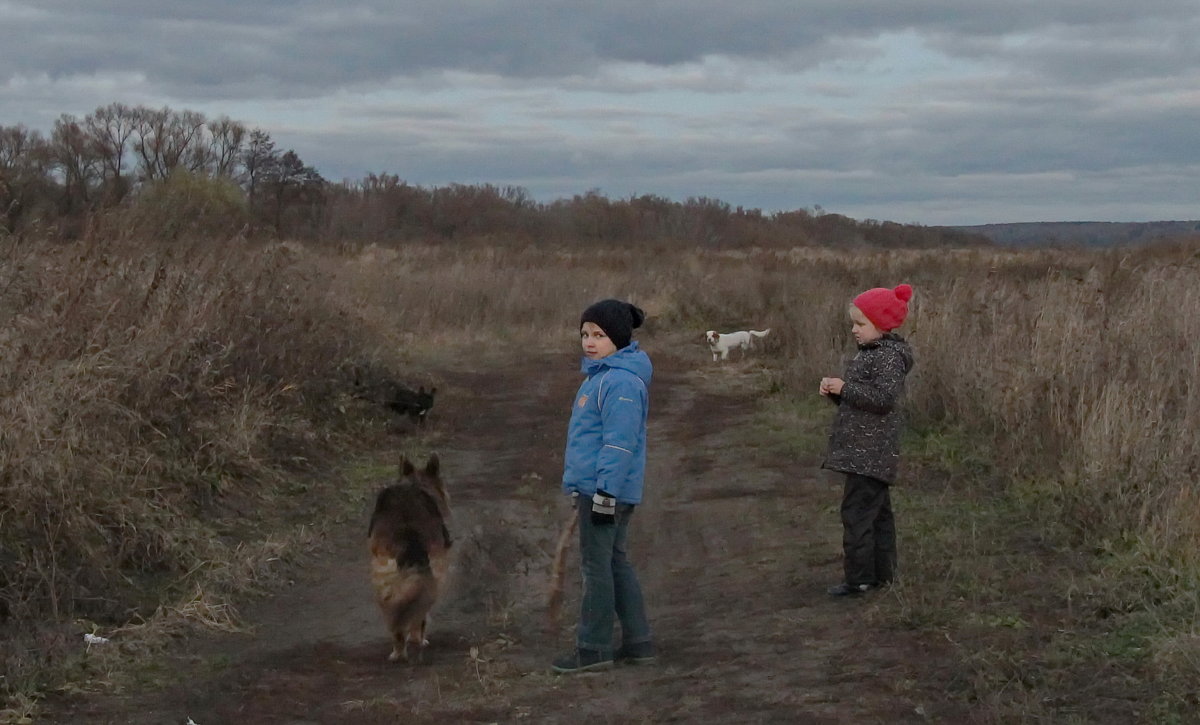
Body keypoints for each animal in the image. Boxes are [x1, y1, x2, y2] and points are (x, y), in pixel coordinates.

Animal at [367, 453, 451, 662]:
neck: (416, 483)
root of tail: (408, 530)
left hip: (383, 576)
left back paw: (397, 651)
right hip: (433, 575)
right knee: (419, 613)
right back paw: (416, 641)